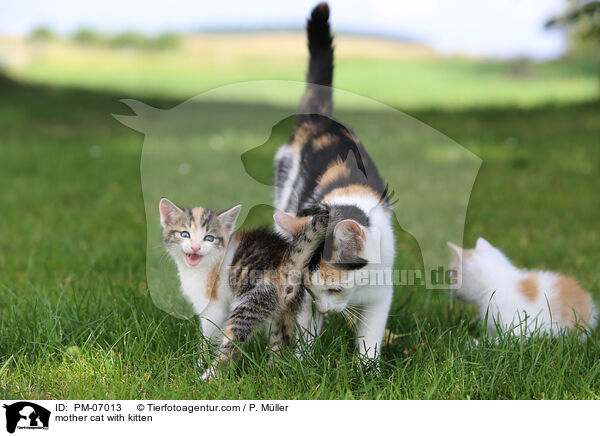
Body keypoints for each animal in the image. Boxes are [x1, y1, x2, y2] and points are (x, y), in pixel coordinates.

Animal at [158, 198, 328, 378]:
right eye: (185, 234)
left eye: (209, 238)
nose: (196, 247)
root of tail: (287, 265)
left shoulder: (213, 305)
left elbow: (209, 333)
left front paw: (199, 361)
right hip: (288, 307)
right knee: (281, 340)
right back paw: (273, 370)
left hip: (253, 300)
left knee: (232, 344)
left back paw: (206, 378)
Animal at [270, 1, 394, 360]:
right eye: (313, 292)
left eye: (336, 288)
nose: (326, 310)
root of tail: (318, 120)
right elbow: (305, 328)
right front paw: (303, 362)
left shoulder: (382, 293)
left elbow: (370, 337)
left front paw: (367, 368)